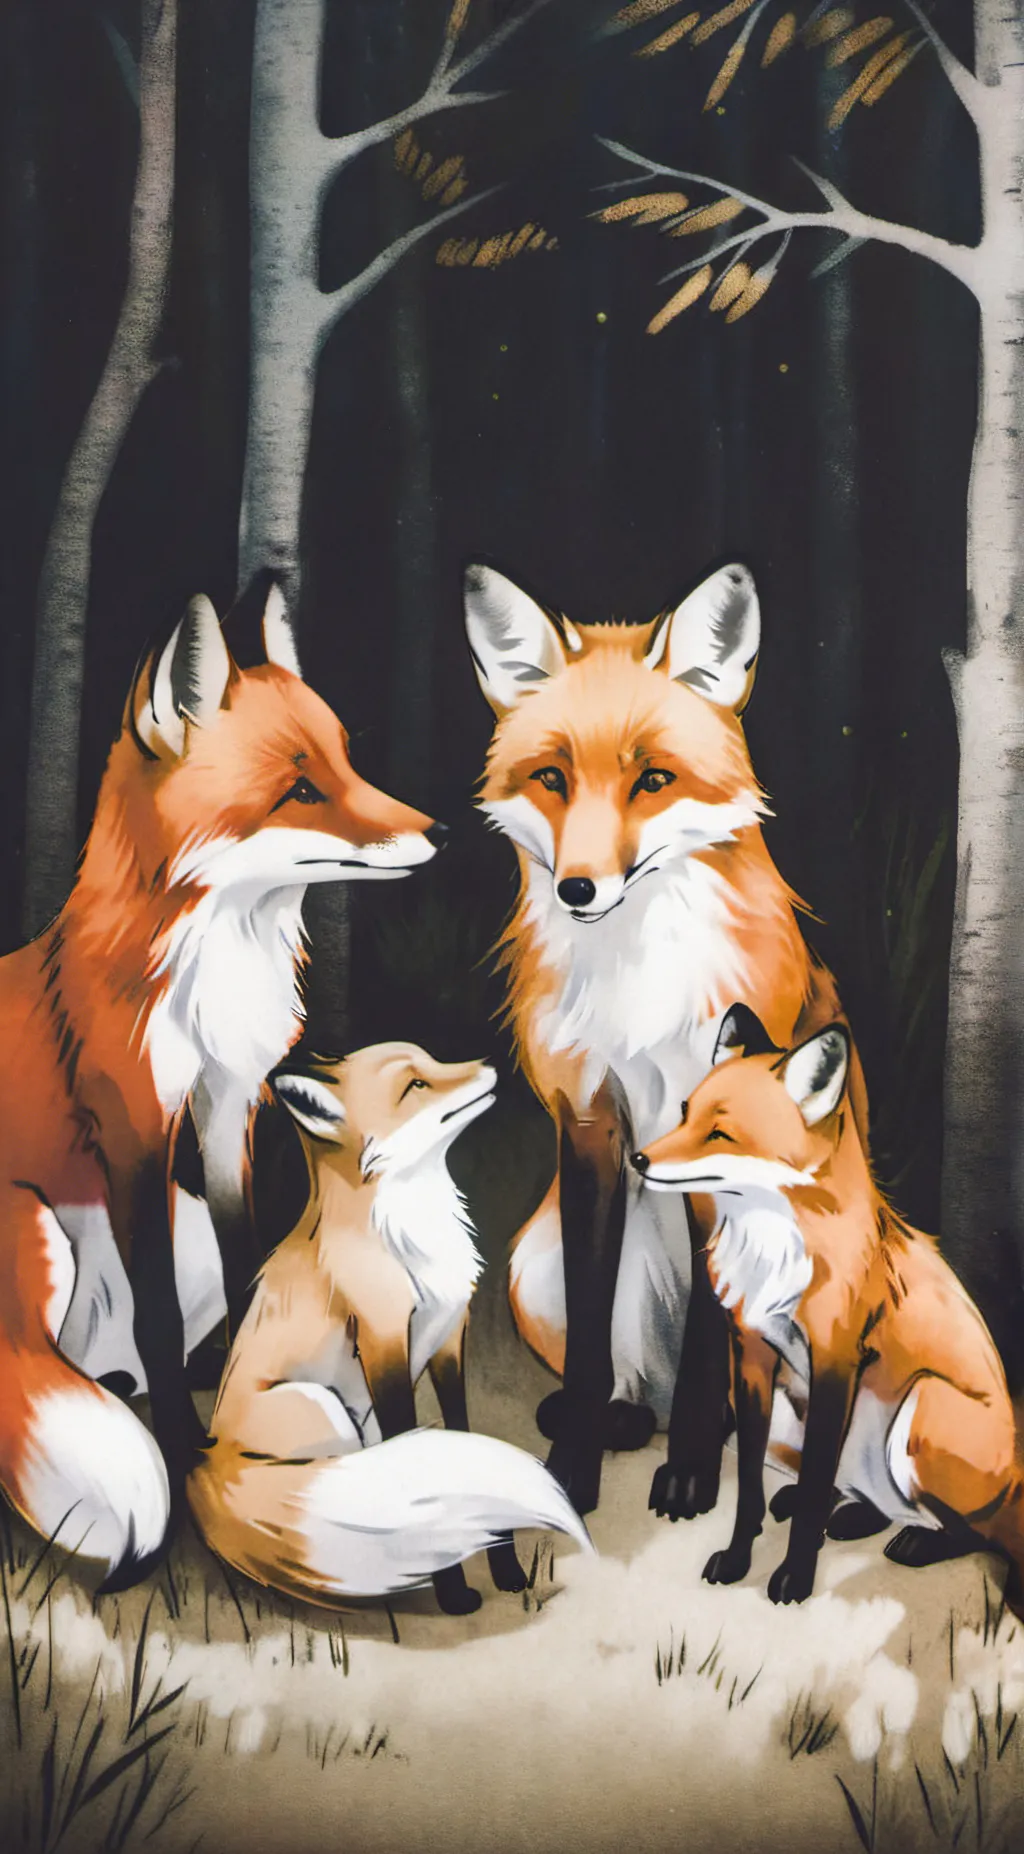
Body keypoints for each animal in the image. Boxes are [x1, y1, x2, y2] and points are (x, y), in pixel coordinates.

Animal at [0, 586, 442, 1588]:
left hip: (182, 1221)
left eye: (348, 760)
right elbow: (161, 1322)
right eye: (302, 789)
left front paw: (228, 1399)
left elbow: (249, 1279)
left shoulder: (229, 1106)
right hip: (44, 1218)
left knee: (108, 1360)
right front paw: (180, 1452)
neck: (208, 981)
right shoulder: (133, 1128)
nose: (438, 832)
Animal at [188, 1042, 592, 1613]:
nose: (492, 1065)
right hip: (323, 1406)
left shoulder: (449, 1339)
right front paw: (452, 1590)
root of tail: (206, 1462)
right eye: (414, 1086)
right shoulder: (383, 1342)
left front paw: (505, 1566)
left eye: (433, 1062)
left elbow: (461, 1435)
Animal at [464, 561, 869, 1517]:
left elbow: (708, 1350)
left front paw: (688, 1474)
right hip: (531, 1265)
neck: (635, 986)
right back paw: (624, 1418)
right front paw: (571, 1471)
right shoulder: (589, 1122)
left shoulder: (717, 1134)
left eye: (653, 780)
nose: (579, 888)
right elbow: (587, 1339)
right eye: (551, 777)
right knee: (623, 1376)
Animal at [633, 1007, 1024, 1612]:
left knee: (975, 1530)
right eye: (683, 1113)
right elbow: (750, 1485)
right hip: (801, 1410)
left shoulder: (836, 1361)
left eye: (719, 1133)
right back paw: (847, 1513)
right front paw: (739, 1557)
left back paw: (916, 1542)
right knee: (870, 1499)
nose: (638, 1159)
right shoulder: (750, 1354)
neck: (771, 1254)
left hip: (920, 1408)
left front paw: (794, 1576)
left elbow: (817, 1477)